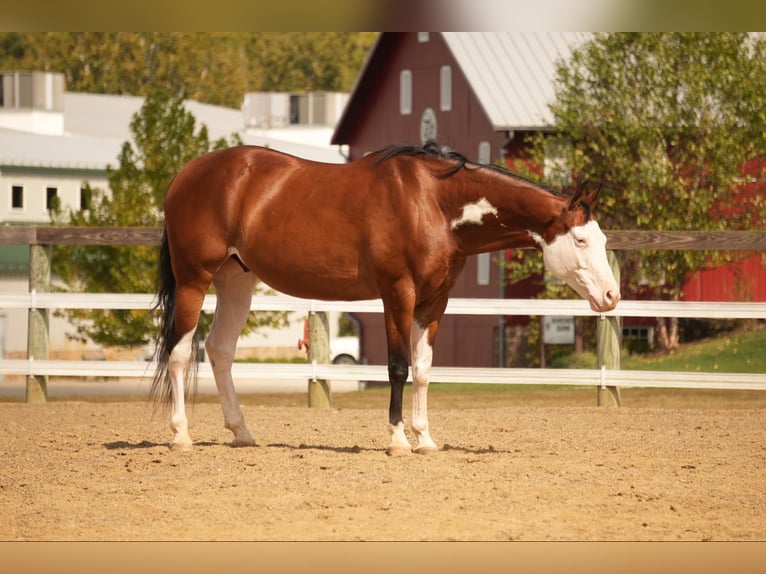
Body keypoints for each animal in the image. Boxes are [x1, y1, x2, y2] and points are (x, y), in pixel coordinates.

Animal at [153, 143, 620, 454]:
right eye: (580, 240)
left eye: (601, 240)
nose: (611, 296)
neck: (432, 203)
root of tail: (185, 174)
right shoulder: (398, 293)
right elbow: (397, 366)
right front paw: (397, 439)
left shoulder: (435, 302)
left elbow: (424, 370)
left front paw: (425, 438)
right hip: (195, 279)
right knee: (180, 353)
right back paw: (180, 435)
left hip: (236, 280)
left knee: (220, 350)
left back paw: (242, 432)